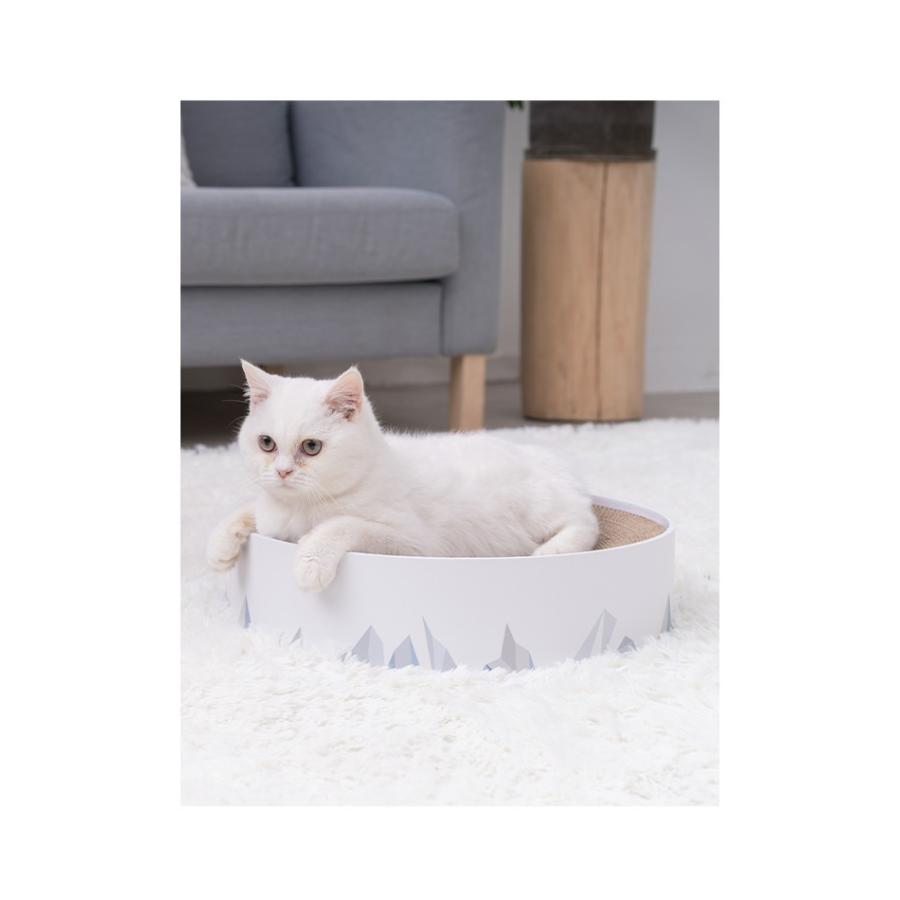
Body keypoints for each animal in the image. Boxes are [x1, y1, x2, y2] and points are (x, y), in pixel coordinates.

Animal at [207, 361, 600, 592]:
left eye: (312, 447)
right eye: (267, 443)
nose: (283, 471)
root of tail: (551, 458)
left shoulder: (413, 542)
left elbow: (342, 525)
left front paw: (311, 562)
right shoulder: (270, 511)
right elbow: (249, 510)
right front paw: (220, 545)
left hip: (539, 509)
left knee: (586, 523)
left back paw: (552, 550)